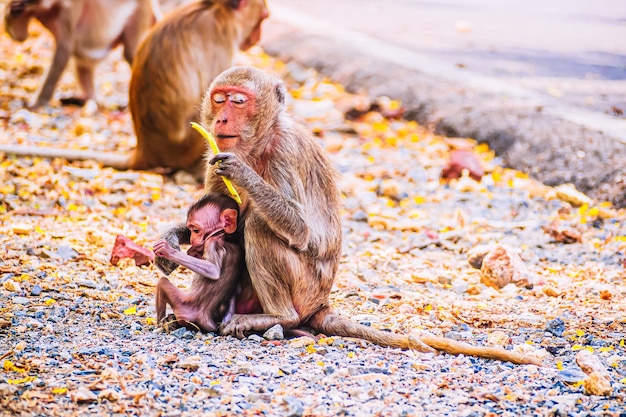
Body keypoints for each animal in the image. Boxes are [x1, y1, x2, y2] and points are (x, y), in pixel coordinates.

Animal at [3, 0, 160, 107]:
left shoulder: (68, 8)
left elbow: (64, 50)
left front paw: (37, 103)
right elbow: (20, 36)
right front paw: (14, 9)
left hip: (139, 12)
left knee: (131, 53)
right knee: (82, 66)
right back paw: (90, 101)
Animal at [154, 192, 244, 332]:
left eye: (196, 230)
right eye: (190, 230)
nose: (191, 240)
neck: (224, 237)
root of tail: (205, 321)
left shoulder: (211, 242)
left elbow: (213, 270)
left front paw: (168, 251)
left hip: (183, 307)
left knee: (163, 283)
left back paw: (162, 322)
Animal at [184, 66, 536, 364]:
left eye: (239, 101)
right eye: (219, 100)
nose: (221, 120)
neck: (259, 144)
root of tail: (321, 303)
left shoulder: (285, 151)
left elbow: (300, 229)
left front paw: (242, 174)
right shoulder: (214, 154)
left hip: (306, 287)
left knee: (259, 224)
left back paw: (280, 317)